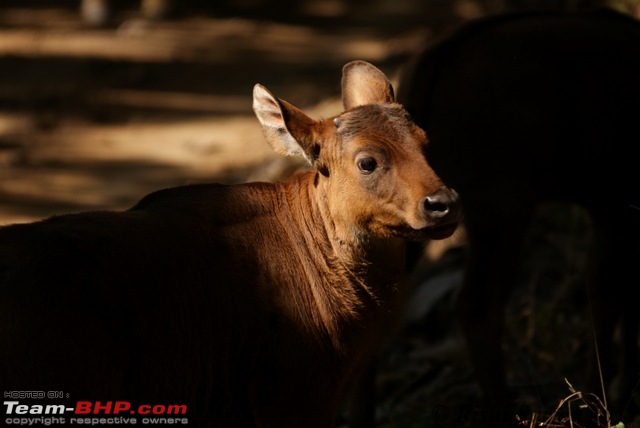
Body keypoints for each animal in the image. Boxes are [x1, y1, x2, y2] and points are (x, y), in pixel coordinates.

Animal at [398, 7, 640, 428]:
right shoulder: (615, 209)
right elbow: (609, 292)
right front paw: (601, 404)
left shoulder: (611, 213)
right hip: (502, 215)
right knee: (478, 307)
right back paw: (506, 411)